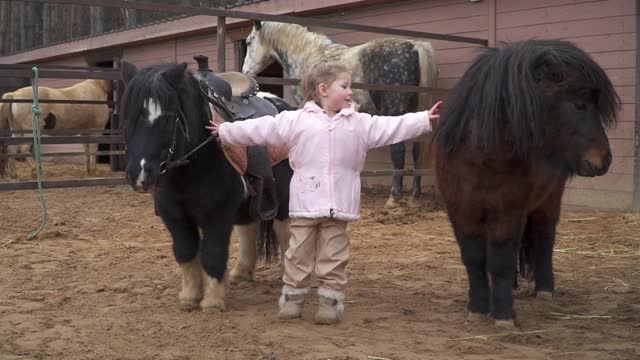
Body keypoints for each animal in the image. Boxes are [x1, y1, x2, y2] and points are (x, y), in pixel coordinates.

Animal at [122, 63, 292, 310]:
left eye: (168, 117)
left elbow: (213, 252)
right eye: (127, 118)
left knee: (285, 234)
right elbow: (185, 251)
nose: (140, 173)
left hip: (284, 201)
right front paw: (190, 297)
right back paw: (241, 273)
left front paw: (212, 301)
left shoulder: (218, 214)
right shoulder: (174, 216)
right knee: (248, 229)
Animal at [432, 40, 616, 330]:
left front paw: (503, 315)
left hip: (547, 201)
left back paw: (544, 288)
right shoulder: (462, 211)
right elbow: (474, 258)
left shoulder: (507, 211)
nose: (603, 160)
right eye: (579, 104)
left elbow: (501, 260)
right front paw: (478, 308)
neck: (481, 155)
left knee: (544, 237)